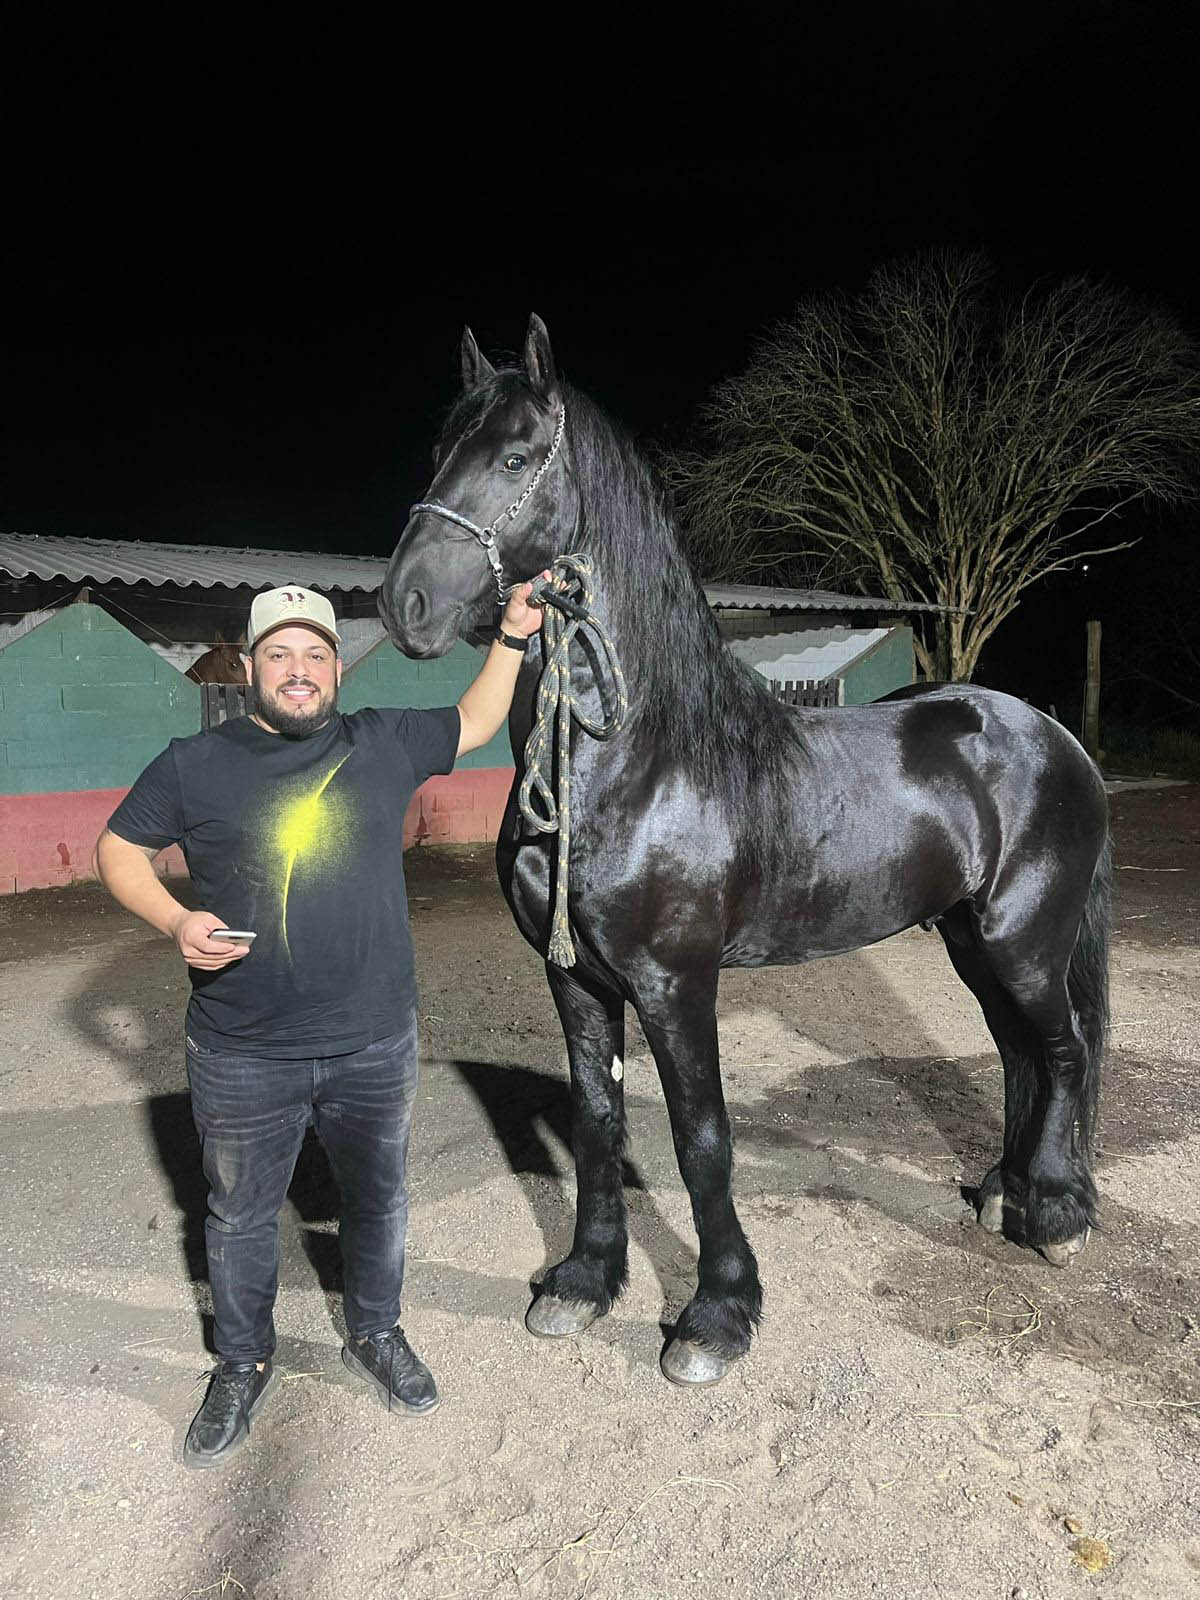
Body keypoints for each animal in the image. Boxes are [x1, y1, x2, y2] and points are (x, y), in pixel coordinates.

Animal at [380, 315, 1113, 1388]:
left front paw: (716, 1316)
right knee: (1022, 1055)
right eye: (439, 451)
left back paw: (1057, 1215)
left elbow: (702, 1138)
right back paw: (1002, 1194)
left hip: (1025, 940)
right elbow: (599, 1124)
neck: (640, 761)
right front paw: (583, 1282)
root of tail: (1053, 735)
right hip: (972, 943)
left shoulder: (677, 981)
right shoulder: (576, 978)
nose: (407, 604)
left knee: (1063, 1052)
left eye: (514, 458)